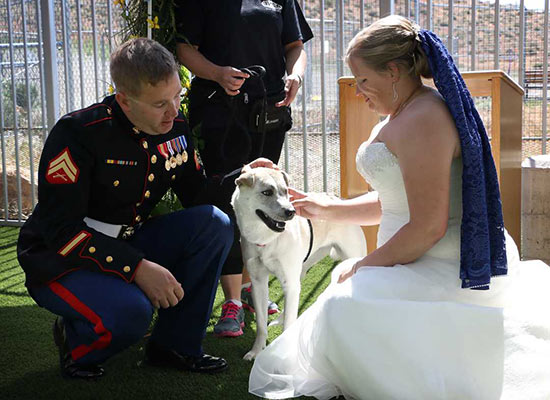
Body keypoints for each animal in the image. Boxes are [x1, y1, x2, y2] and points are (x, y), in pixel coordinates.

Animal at [231, 166, 368, 360]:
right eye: (267, 192)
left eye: (286, 191)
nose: (291, 212)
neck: (267, 239)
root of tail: (338, 199)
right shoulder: (258, 283)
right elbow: (261, 324)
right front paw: (256, 351)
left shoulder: (288, 282)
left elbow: (289, 321)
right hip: (302, 268)